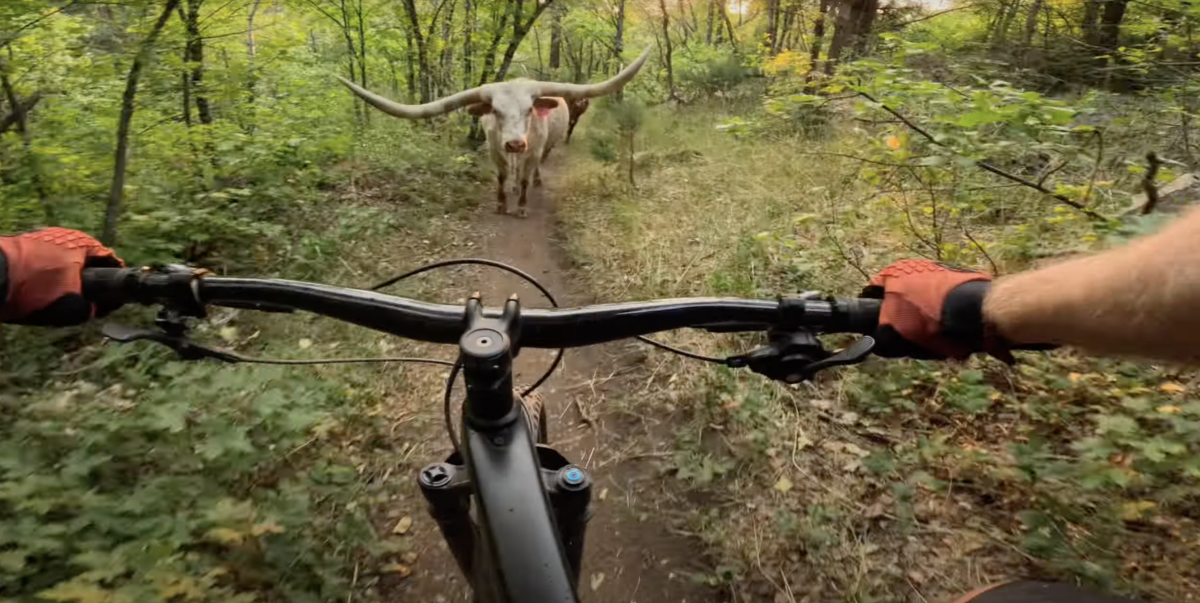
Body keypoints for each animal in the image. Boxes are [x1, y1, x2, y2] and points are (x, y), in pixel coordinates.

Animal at [338, 46, 652, 216]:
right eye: (495, 111)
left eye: (529, 109)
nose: (514, 143)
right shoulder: (494, 149)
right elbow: (502, 176)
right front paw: (502, 202)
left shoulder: (532, 149)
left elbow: (525, 177)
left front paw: (522, 205)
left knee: (534, 167)